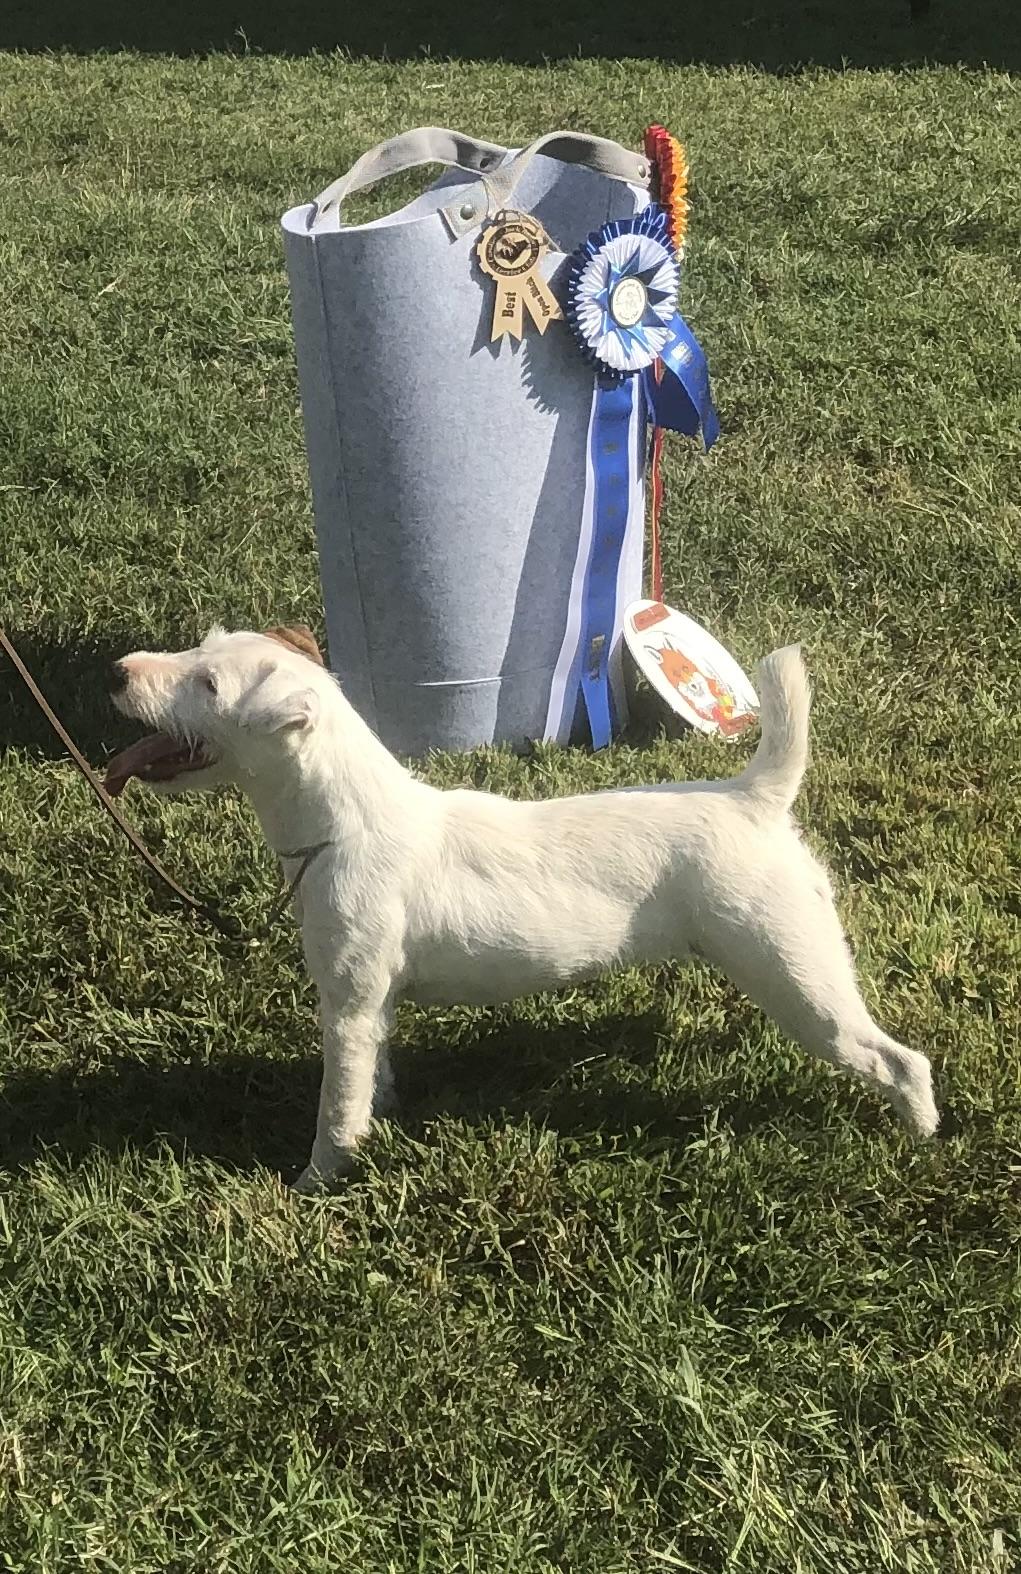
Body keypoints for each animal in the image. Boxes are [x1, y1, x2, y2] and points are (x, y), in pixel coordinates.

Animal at [105, 625, 939, 1190]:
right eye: (197, 648)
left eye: (210, 686)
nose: (118, 672)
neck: (346, 821)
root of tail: (752, 800)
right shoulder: (373, 1003)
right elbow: (372, 1076)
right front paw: (379, 1121)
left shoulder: (345, 1004)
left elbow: (335, 1105)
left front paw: (315, 1184)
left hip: (797, 974)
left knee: (899, 1059)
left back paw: (922, 1137)